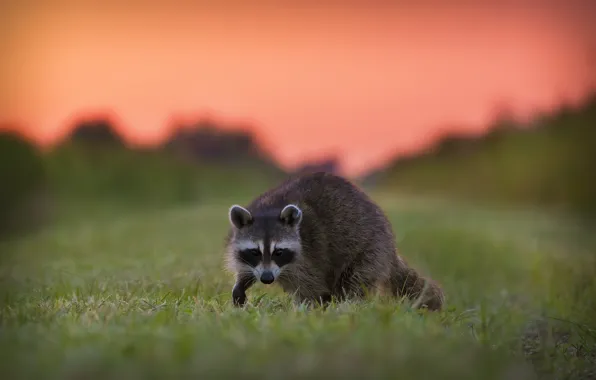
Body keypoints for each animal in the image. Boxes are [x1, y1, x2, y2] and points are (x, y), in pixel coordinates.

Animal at [222, 171, 442, 310]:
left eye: (279, 252)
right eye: (254, 252)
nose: (267, 279)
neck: (270, 209)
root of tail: (391, 248)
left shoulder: (310, 255)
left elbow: (311, 287)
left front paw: (307, 311)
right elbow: (247, 269)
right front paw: (241, 283)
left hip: (371, 248)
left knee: (355, 280)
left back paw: (344, 306)